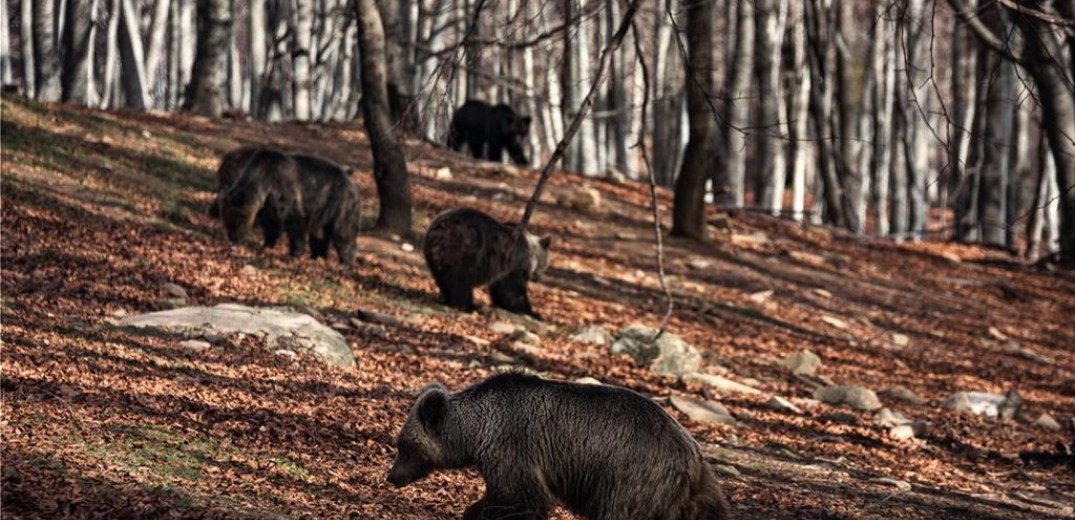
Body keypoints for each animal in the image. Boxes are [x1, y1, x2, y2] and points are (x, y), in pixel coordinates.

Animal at [387, 373, 731, 520]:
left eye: (404, 445)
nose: (392, 477)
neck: (476, 432)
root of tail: (691, 453)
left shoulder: (512, 448)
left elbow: (522, 497)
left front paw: (477, 512)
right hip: (694, 490)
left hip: (630, 478)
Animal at [421, 207, 550, 315]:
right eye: (544, 265)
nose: (538, 277)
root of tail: (439, 229)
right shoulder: (515, 263)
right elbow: (513, 288)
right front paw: (531, 311)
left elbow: (500, 288)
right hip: (463, 248)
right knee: (459, 281)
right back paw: (468, 306)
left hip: (433, 255)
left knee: (443, 278)